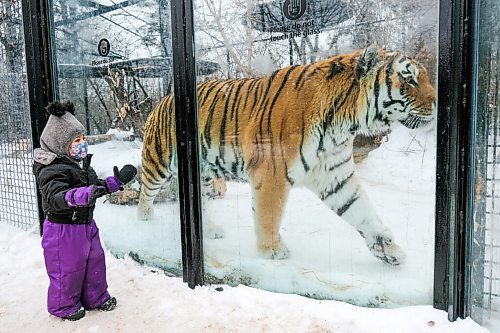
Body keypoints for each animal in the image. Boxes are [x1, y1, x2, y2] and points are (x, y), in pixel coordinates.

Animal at [139, 43, 436, 264]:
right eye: (409, 79)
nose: (436, 103)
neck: (345, 123)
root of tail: (164, 98)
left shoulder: (335, 175)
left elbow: (361, 210)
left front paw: (387, 248)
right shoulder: (272, 172)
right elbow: (270, 213)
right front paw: (272, 250)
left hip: (203, 174)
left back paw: (210, 230)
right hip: (158, 160)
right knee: (146, 188)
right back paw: (144, 217)